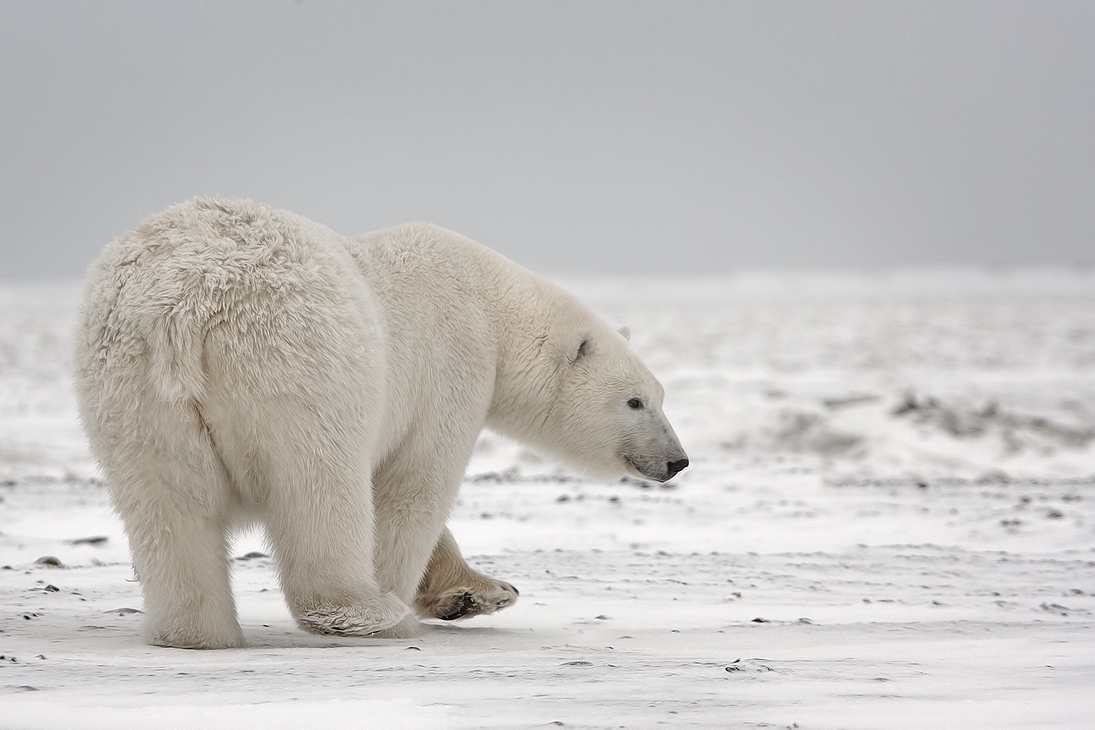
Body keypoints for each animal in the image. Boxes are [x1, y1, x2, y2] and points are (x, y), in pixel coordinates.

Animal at [77, 197, 687, 647]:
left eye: (659, 395)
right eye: (636, 402)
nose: (678, 460)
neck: (491, 304)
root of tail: (182, 305)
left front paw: (483, 591)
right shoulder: (450, 367)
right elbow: (412, 487)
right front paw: (424, 592)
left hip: (132, 390)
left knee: (168, 507)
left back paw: (196, 633)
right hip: (296, 365)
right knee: (321, 488)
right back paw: (372, 613)